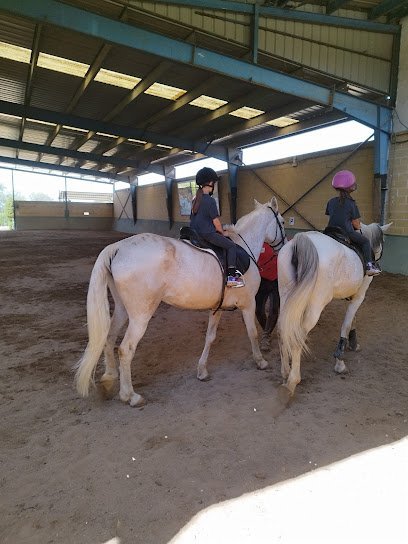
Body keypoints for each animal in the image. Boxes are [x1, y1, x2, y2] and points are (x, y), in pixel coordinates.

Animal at [75, 198, 286, 406]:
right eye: (283, 222)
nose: (283, 247)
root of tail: (118, 247)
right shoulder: (249, 304)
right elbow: (252, 333)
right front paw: (260, 361)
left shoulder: (217, 309)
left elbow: (210, 337)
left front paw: (202, 371)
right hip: (140, 315)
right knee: (125, 349)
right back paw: (131, 396)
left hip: (122, 309)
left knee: (109, 338)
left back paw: (109, 379)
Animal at [278, 222, 392, 400]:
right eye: (383, 242)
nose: (377, 262)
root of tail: (300, 241)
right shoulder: (360, 295)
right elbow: (346, 324)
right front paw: (340, 361)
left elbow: (352, 320)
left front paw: (353, 343)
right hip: (315, 304)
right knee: (298, 336)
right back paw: (292, 381)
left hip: (286, 298)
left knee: (284, 330)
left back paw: (285, 372)